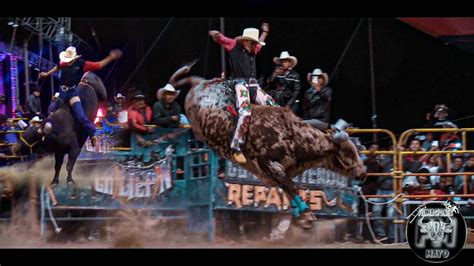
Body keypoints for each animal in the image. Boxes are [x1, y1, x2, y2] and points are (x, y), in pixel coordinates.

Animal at [171, 65, 366, 229]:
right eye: (349, 152)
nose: (363, 173)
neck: (293, 135)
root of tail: (201, 83)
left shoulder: (280, 172)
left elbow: (288, 187)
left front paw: (300, 214)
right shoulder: (268, 164)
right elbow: (291, 187)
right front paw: (307, 215)